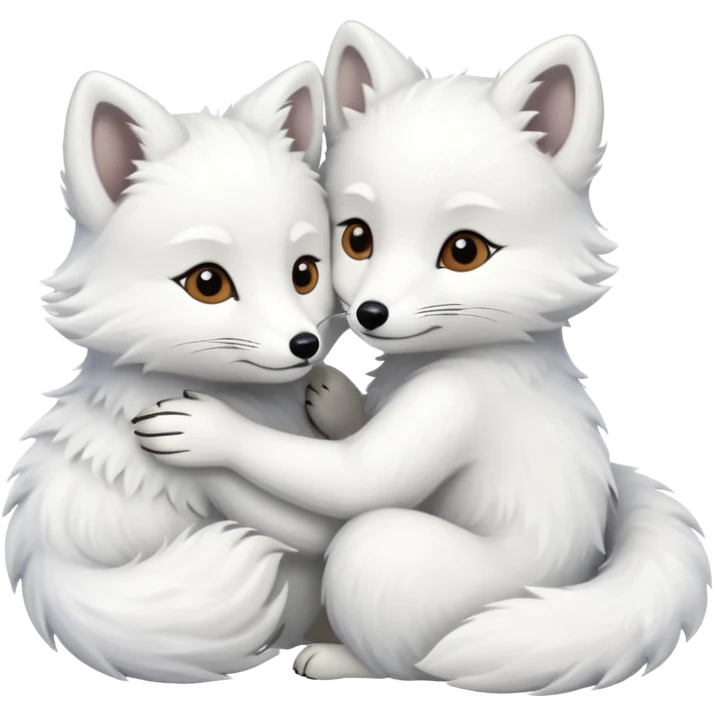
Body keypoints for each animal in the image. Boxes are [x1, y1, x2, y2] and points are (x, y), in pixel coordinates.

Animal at [131, 24, 713, 695]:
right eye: (357, 237)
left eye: (464, 251)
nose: (371, 313)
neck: (451, 353)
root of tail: (577, 583)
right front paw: (336, 399)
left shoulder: (455, 400)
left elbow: (361, 477)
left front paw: (208, 434)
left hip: (398, 564)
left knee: (414, 655)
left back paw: (339, 659)